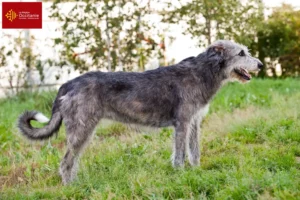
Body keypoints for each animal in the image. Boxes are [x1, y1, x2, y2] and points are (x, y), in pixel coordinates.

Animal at [18, 39, 262, 184]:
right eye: (241, 53)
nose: (260, 65)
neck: (203, 72)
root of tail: (67, 84)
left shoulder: (194, 122)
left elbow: (194, 151)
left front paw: (196, 171)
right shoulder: (182, 123)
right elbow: (180, 154)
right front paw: (180, 175)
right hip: (81, 129)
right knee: (66, 161)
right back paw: (71, 187)